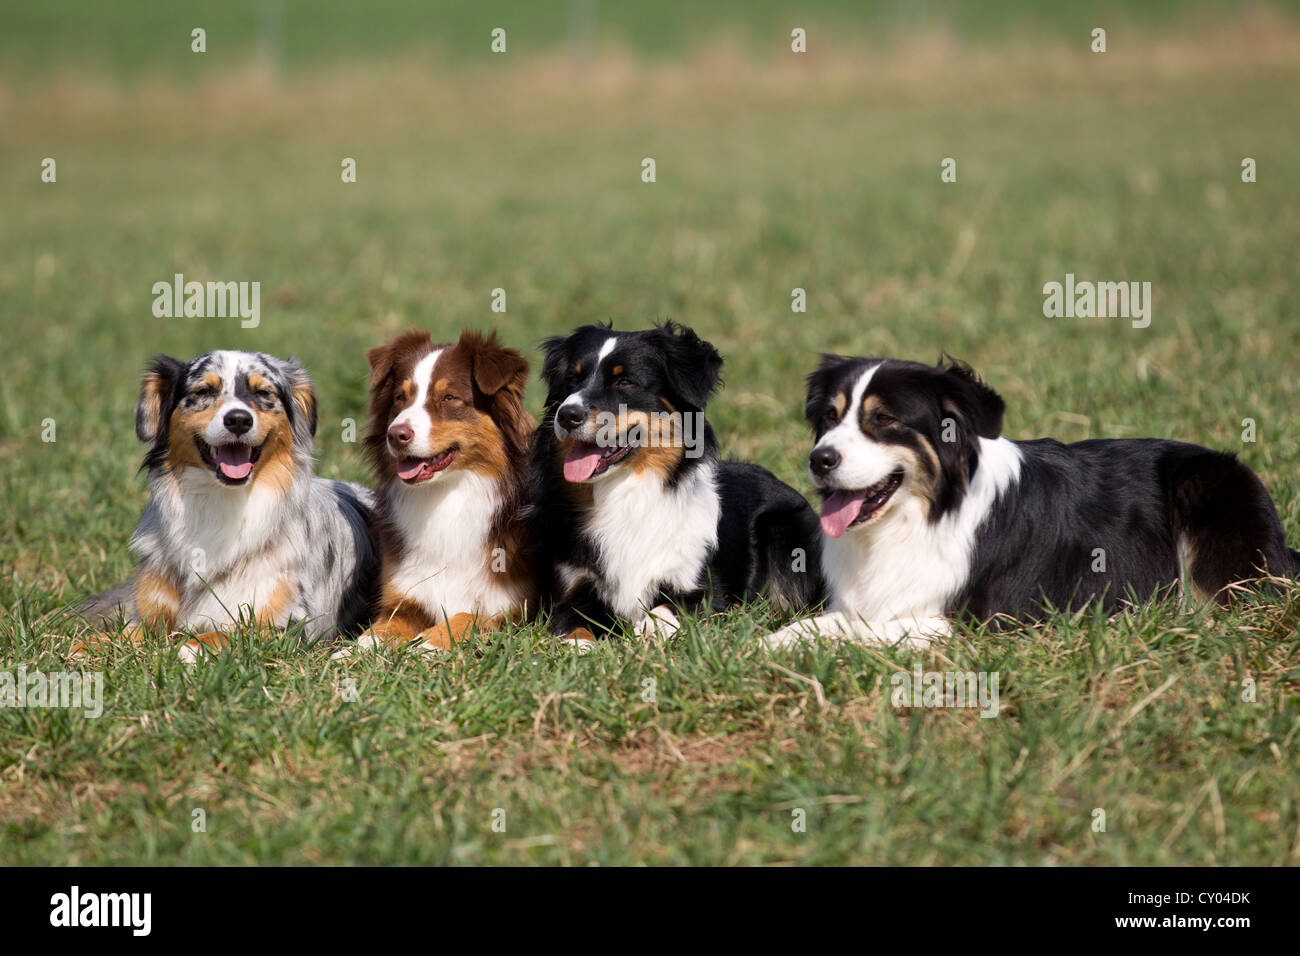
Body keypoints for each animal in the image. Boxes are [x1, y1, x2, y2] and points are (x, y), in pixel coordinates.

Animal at [530, 323, 821, 650]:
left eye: (624, 381)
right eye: (572, 379)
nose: (567, 415)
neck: (625, 491)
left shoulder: (703, 588)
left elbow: (664, 610)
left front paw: (647, 634)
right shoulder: (574, 588)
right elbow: (573, 625)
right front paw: (579, 649)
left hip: (785, 531)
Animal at [764, 356, 1294, 655]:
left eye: (883, 420)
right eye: (830, 417)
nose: (819, 459)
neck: (922, 516)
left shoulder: (979, 622)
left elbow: (873, 631)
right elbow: (818, 624)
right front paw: (768, 642)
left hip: (1208, 485)